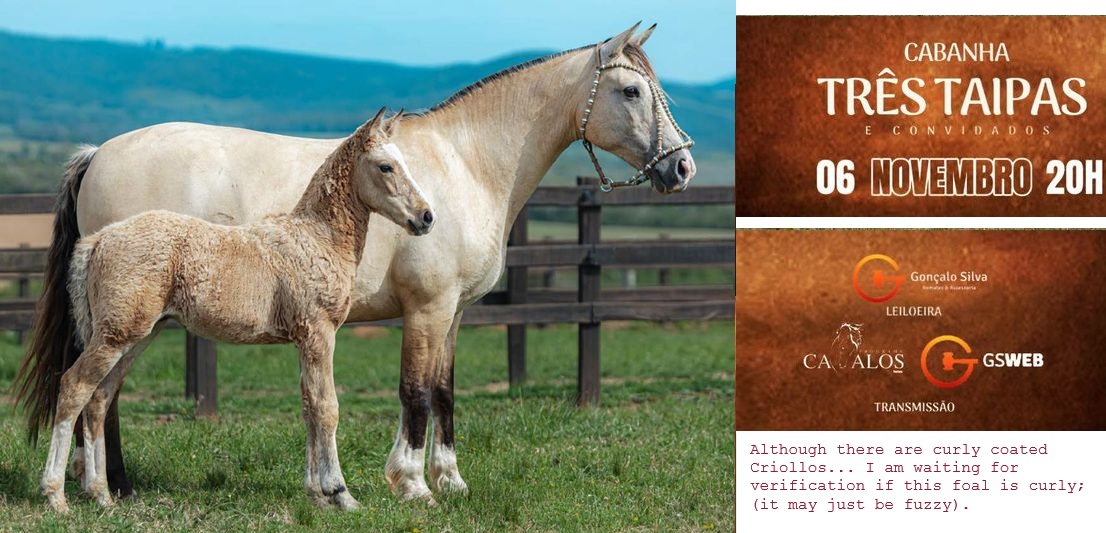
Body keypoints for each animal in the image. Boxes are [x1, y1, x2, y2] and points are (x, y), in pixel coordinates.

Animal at [37, 108, 432, 513]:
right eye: (385, 166)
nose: (426, 217)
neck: (316, 238)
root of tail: (100, 239)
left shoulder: (304, 340)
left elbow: (308, 406)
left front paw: (316, 495)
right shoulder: (319, 333)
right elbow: (327, 408)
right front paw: (341, 494)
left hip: (135, 336)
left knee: (99, 398)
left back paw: (100, 494)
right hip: (116, 336)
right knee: (74, 387)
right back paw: (56, 496)